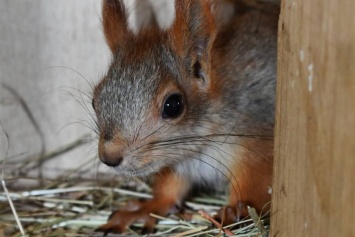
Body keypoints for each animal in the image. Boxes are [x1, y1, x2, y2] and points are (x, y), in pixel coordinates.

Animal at [91, 0, 278, 233]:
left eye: (173, 105)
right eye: (94, 100)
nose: (109, 157)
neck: (200, 147)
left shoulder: (257, 144)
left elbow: (254, 187)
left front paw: (235, 210)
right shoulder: (177, 164)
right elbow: (169, 191)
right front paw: (144, 209)